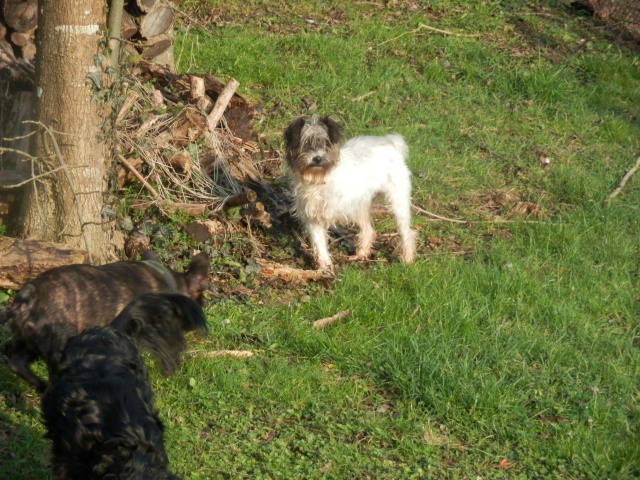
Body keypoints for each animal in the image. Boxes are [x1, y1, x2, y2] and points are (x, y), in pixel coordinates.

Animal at [284, 113, 416, 270]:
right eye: (306, 144)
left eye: (326, 143)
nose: (317, 158)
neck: (318, 179)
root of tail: (392, 145)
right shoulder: (313, 217)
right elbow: (318, 243)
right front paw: (324, 267)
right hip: (359, 206)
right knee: (368, 230)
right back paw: (361, 255)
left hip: (397, 202)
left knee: (406, 232)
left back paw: (407, 259)